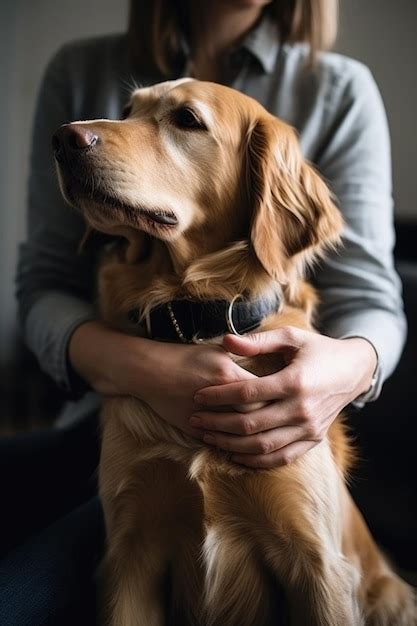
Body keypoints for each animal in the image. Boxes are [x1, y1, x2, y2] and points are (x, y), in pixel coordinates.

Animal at [53, 78, 414, 624]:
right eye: (128, 109)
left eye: (186, 119)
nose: (63, 139)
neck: (196, 315)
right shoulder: (129, 554)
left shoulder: (318, 563)